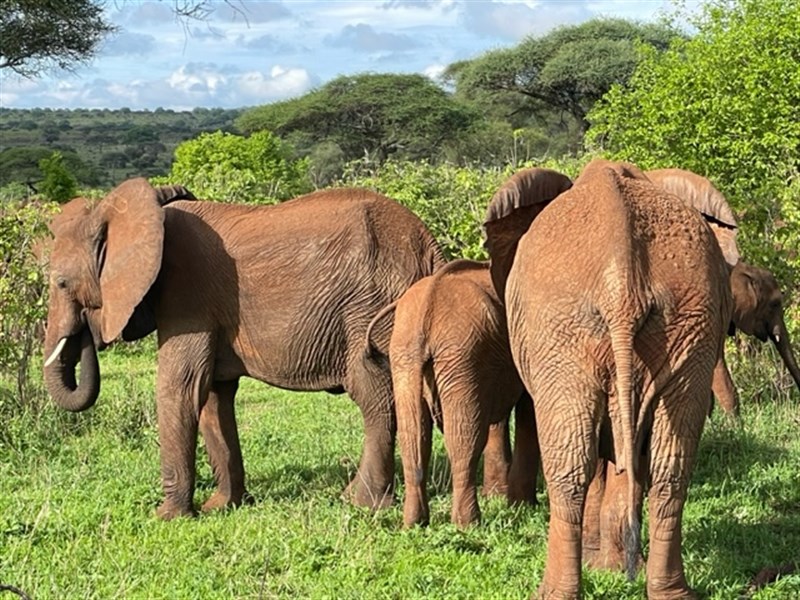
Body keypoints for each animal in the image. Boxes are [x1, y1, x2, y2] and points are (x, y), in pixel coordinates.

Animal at [43, 176, 444, 516]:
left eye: (61, 283)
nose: (88, 330)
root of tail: (429, 244)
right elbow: (213, 397)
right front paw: (221, 507)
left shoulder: (186, 294)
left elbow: (180, 386)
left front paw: (167, 517)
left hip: (371, 308)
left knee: (374, 397)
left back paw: (362, 503)